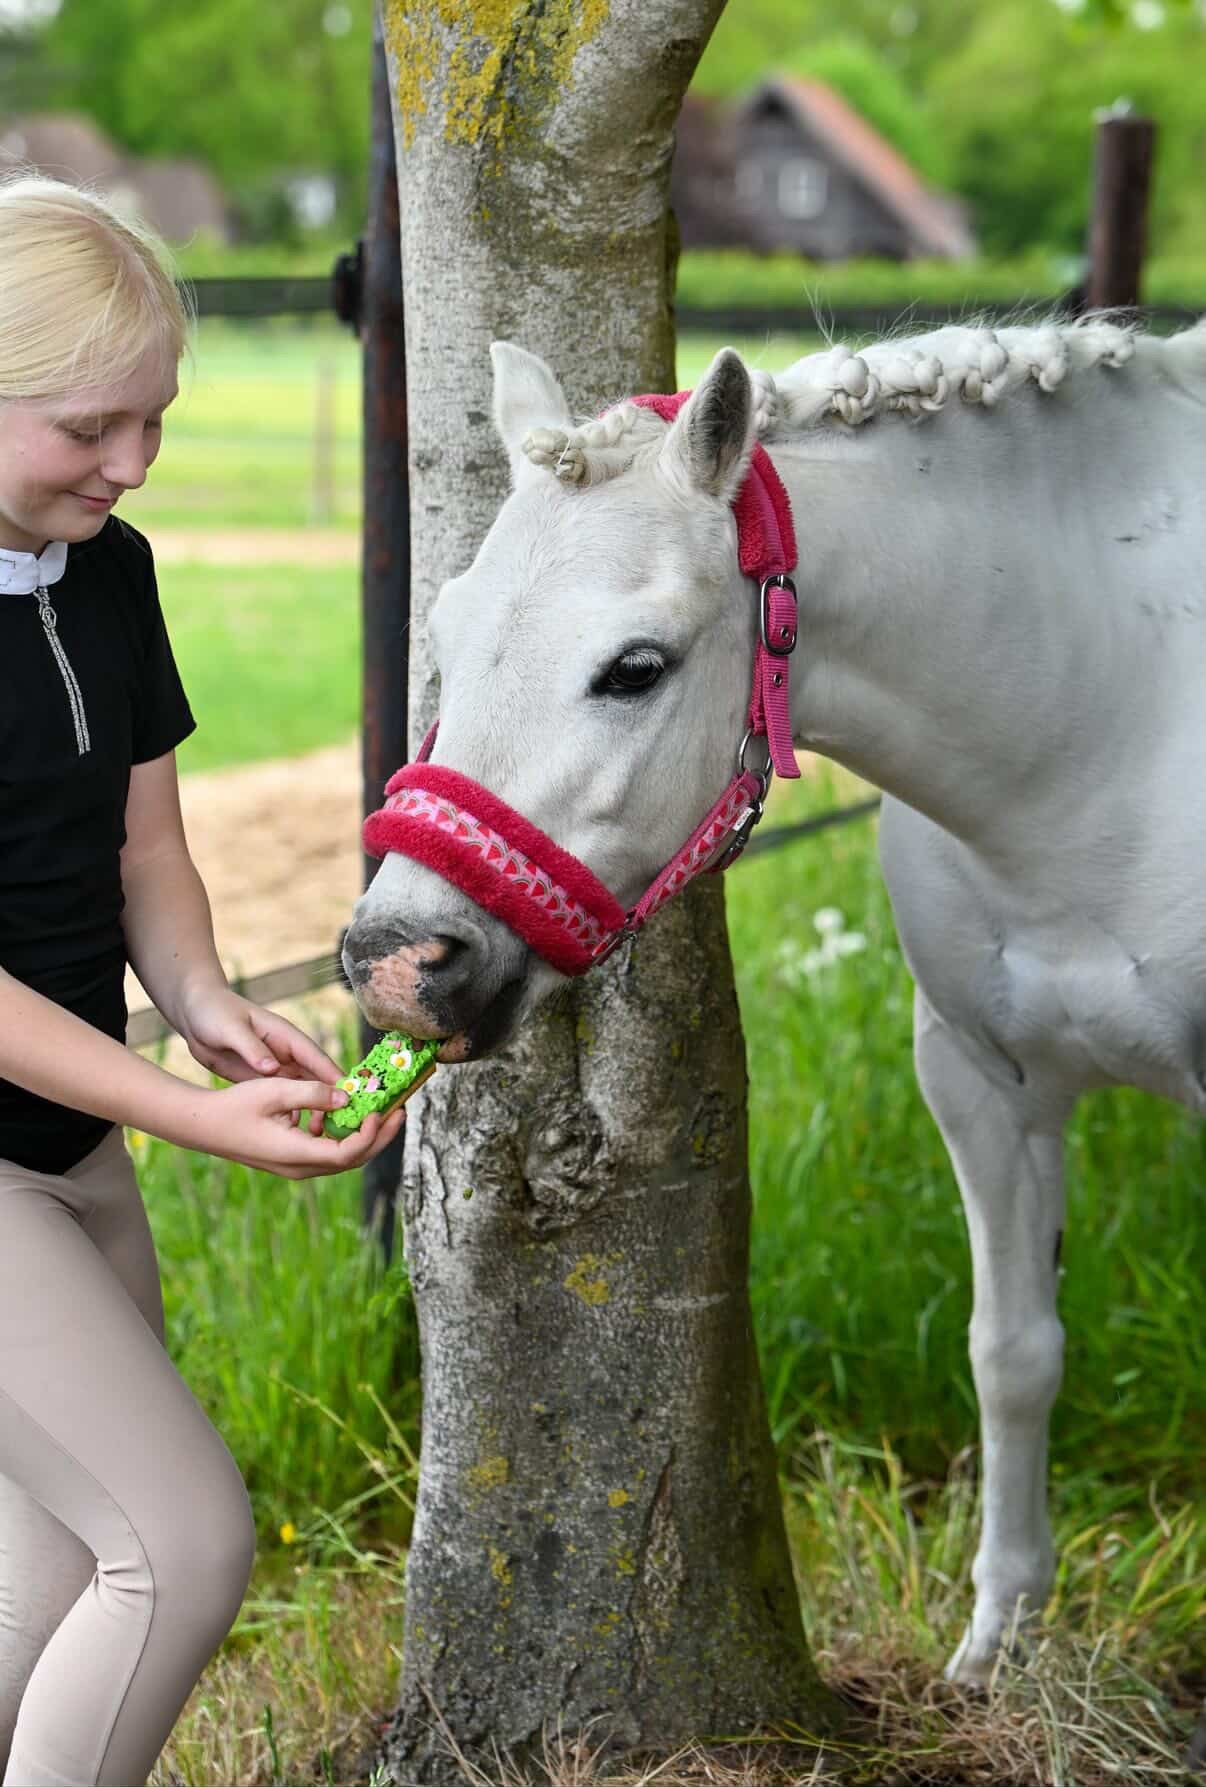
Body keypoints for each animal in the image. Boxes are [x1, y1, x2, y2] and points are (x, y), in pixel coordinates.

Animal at [344, 314, 1206, 1684]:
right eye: (449, 628)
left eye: (635, 668)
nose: (396, 958)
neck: (1109, 713)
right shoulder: (981, 1079)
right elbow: (1013, 1350)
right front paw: (998, 1644)